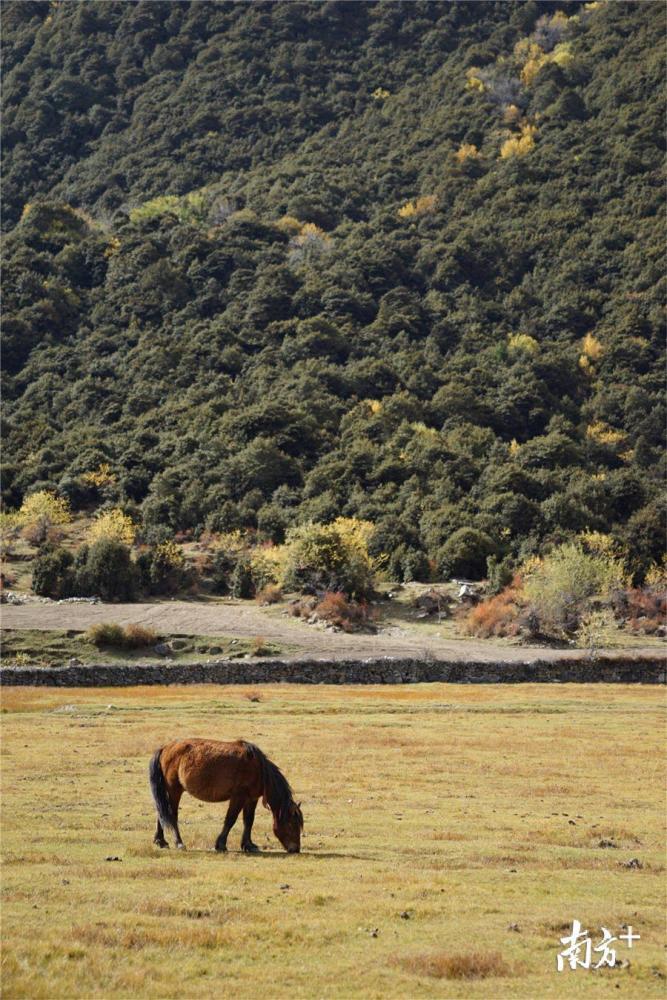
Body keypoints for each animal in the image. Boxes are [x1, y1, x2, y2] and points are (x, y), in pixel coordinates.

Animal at [149, 740, 306, 856]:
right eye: (291, 824)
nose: (295, 849)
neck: (259, 769)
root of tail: (165, 748)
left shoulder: (251, 799)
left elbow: (248, 821)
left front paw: (248, 845)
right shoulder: (238, 797)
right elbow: (230, 819)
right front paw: (221, 845)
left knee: (162, 813)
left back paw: (161, 841)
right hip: (174, 790)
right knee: (171, 815)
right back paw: (179, 843)